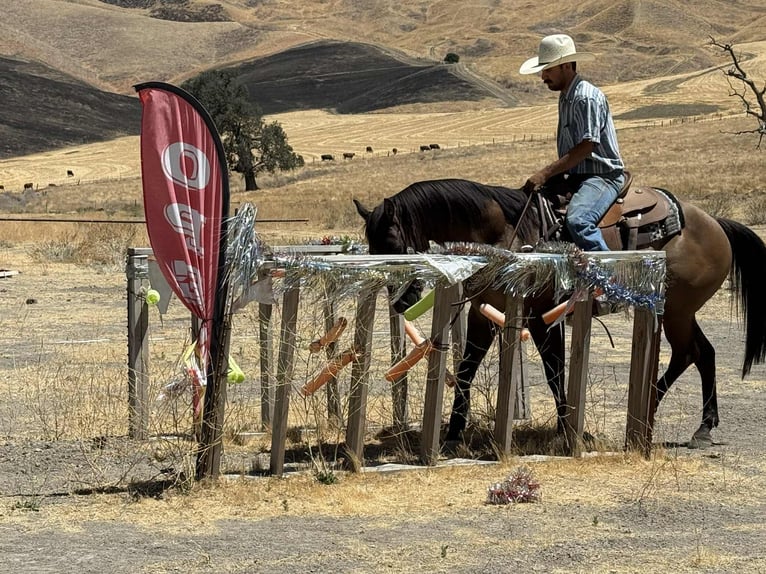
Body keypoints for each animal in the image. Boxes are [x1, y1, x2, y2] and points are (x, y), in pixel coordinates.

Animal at [353, 178, 766, 448]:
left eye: (393, 242)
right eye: (372, 248)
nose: (400, 302)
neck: (504, 234)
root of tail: (713, 223)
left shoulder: (541, 318)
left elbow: (555, 372)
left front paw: (567, 430)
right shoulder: (483, 314)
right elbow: (468, 368)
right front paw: (453, 433)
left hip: (676, 311)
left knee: (690, 353)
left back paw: (674, 417)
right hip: (679, 312)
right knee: (701, 353)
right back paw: (695, 422)